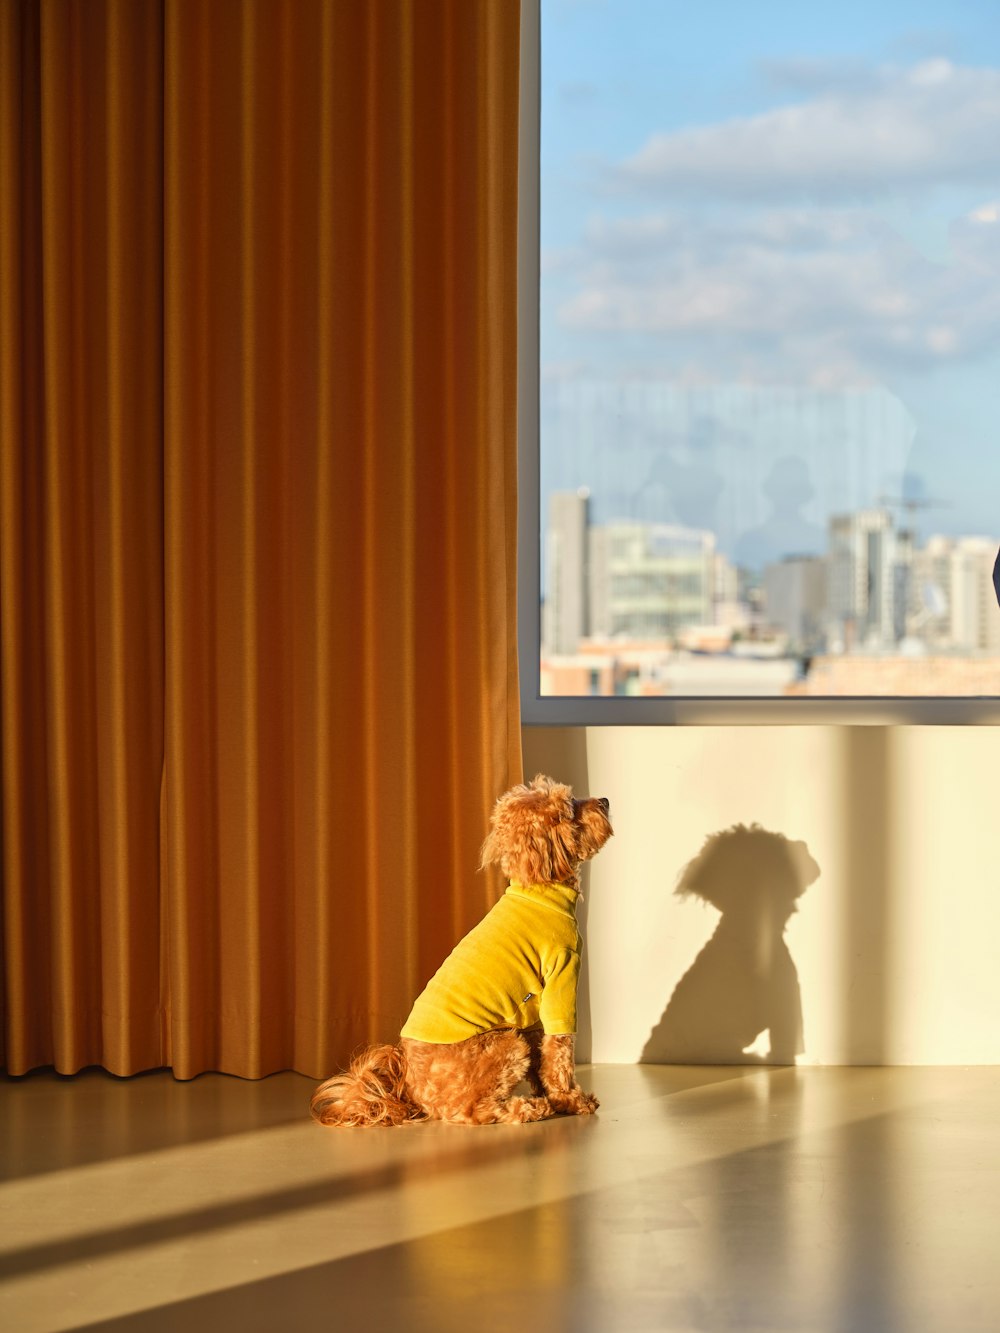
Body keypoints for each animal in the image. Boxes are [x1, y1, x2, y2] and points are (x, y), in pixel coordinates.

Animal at [312, 778, 610, 1130]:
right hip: (505, 1043)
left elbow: (544, 1056)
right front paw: (573, 1101)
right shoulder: (560, 980)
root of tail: (409, 1087)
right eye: (569, 808)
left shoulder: (536, 1011)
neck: (540, 888)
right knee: (472, 1111)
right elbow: (560, 1053)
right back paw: (526, 1109)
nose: (605, 801)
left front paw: (554, 1095)